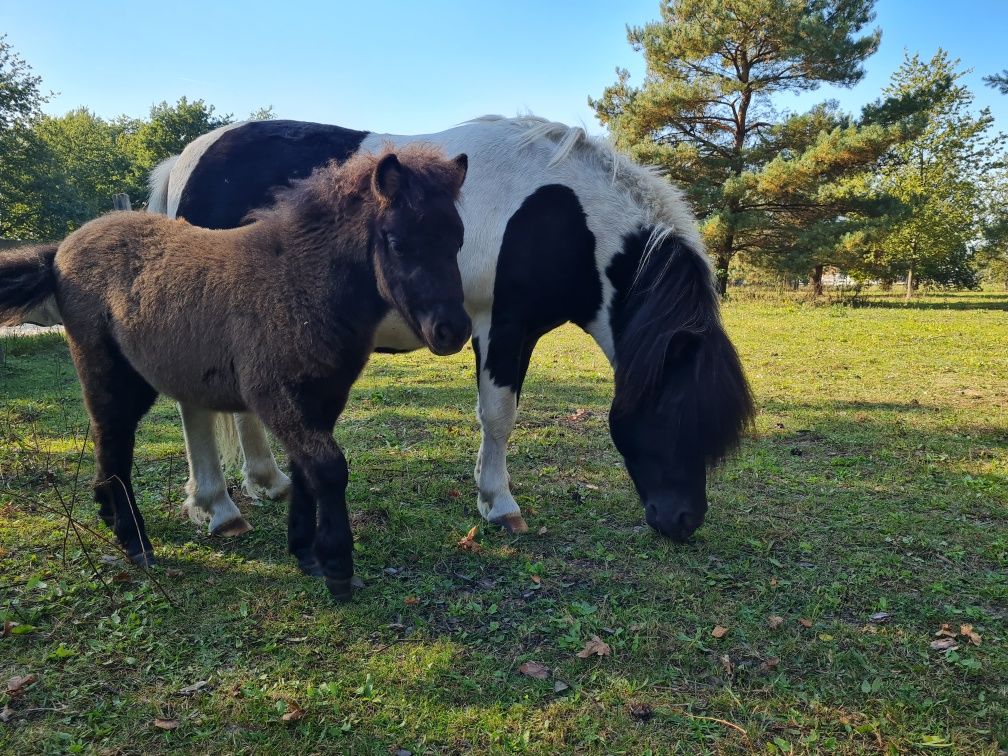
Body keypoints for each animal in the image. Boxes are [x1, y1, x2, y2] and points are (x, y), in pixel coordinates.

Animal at [0, 145, 471, 600]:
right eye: (396, 241)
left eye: (459, 238)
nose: (452, 330)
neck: (297, 283)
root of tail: (61, 250)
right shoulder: (275, 395)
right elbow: (329, 468)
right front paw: (337, 568)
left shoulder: (323, 398)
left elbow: (306, 470)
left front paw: (306, 553)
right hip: (107, 372)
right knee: (114, 441)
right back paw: (136, 542)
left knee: (110, 442)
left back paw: (109, 515)